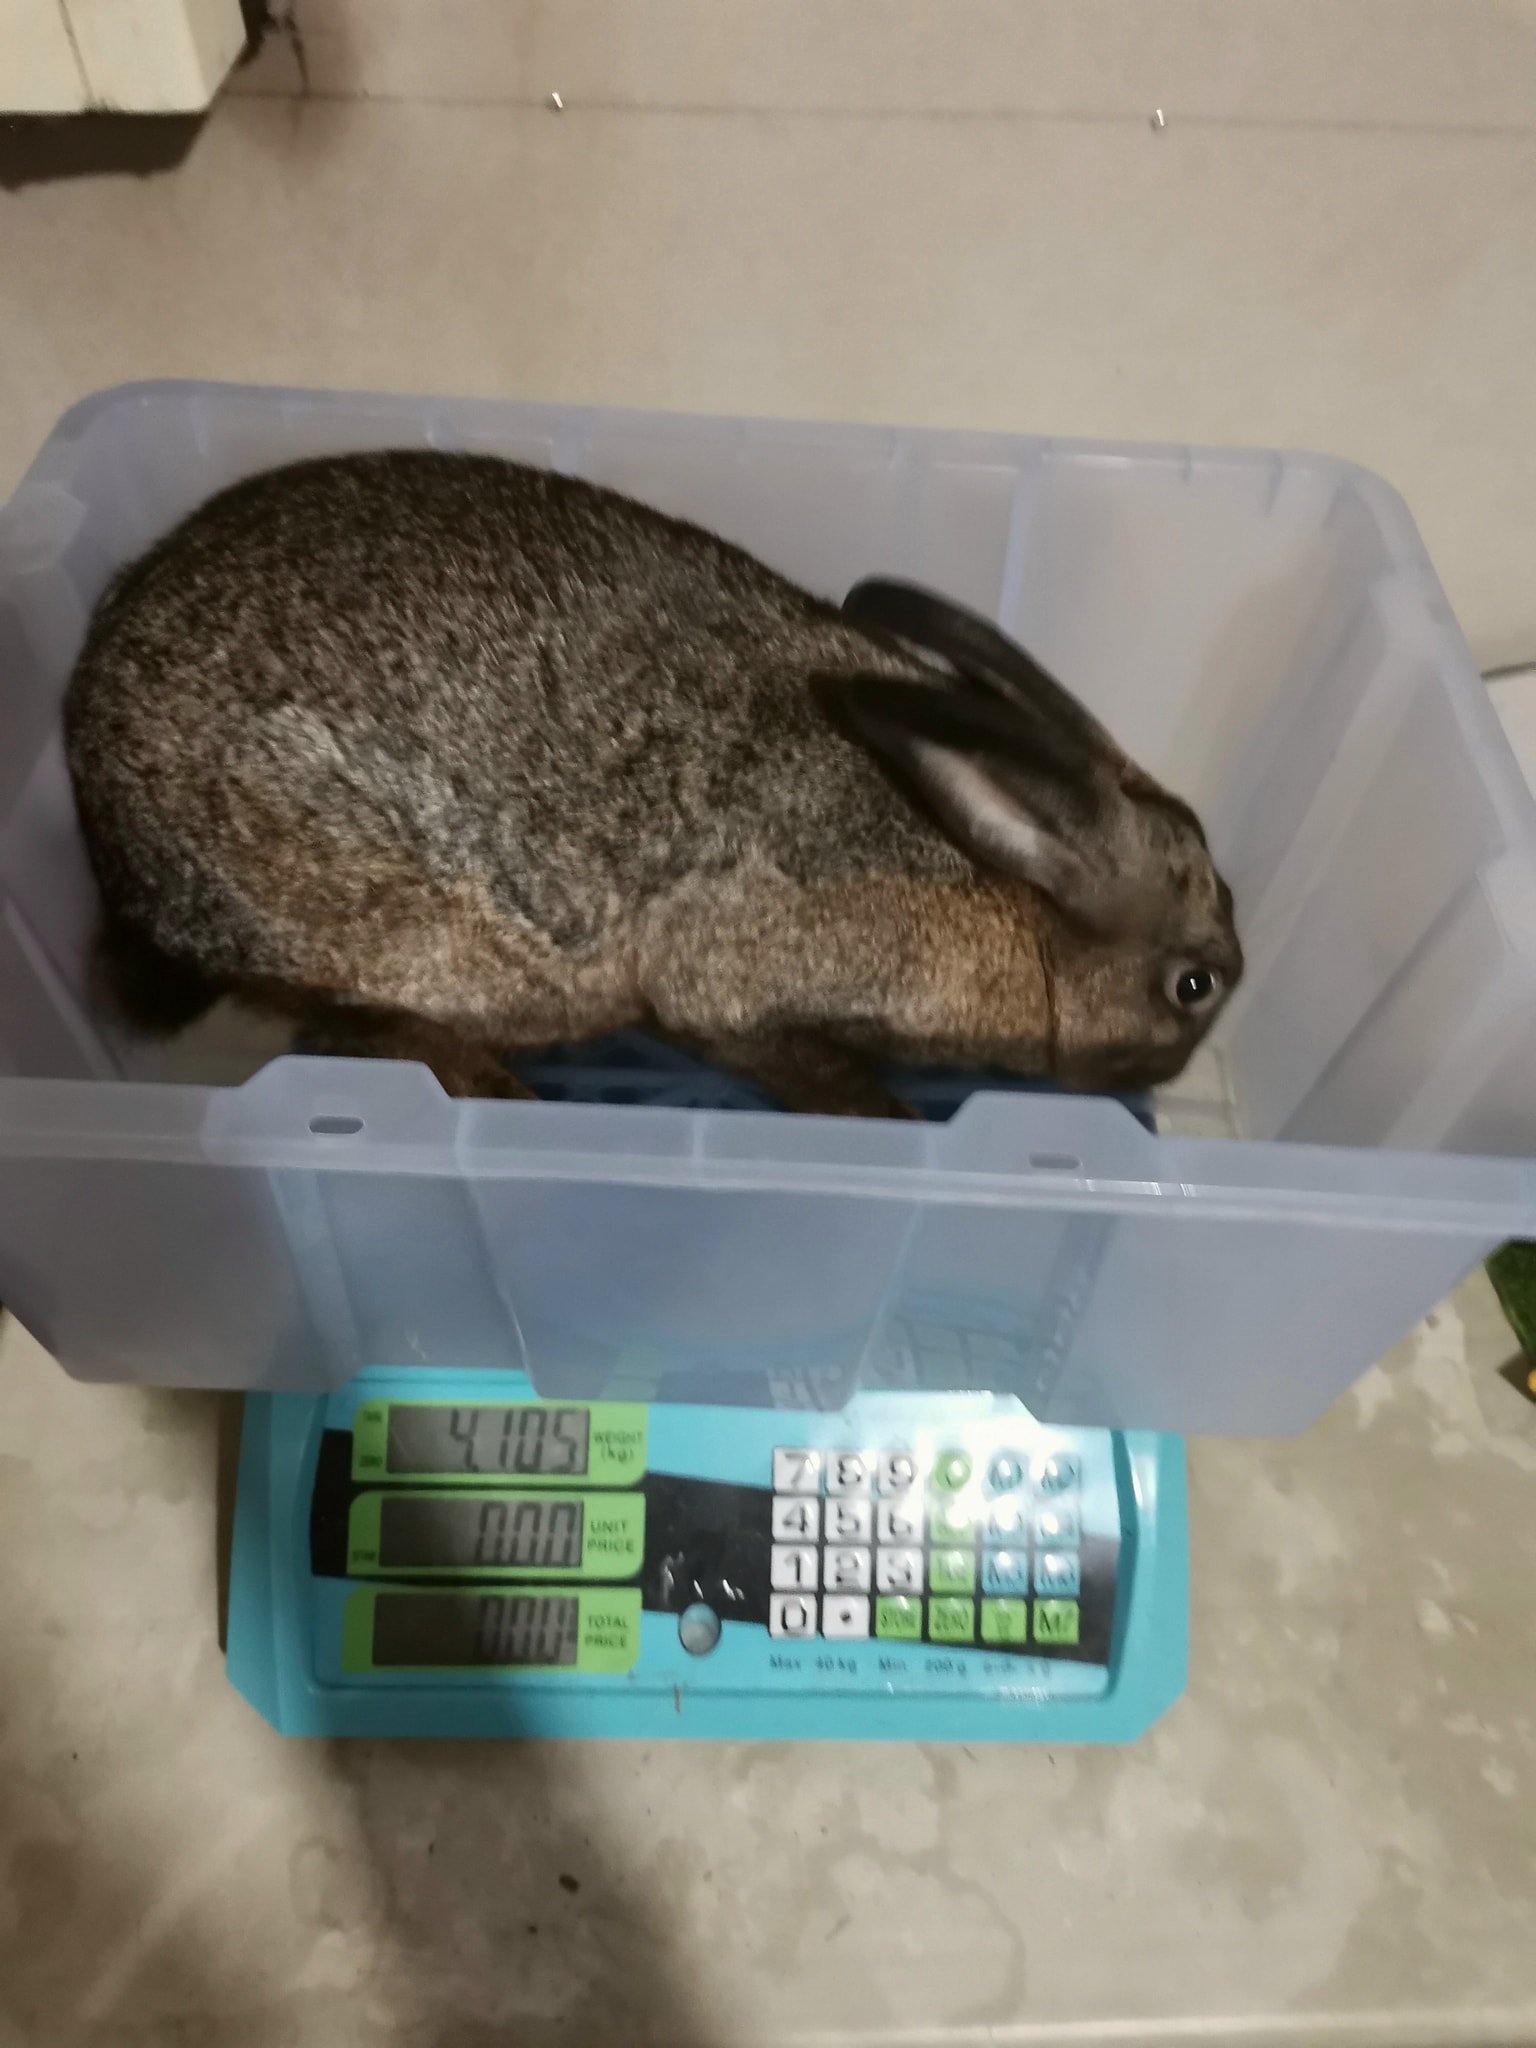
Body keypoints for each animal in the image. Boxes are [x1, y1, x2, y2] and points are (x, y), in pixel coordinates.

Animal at [64, 450, 1242, 1117]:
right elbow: (811, 1069)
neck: (1022, 902)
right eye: (1196, 986)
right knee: (349, 1030)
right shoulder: (729, 995)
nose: (1165, 1079)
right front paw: (894, 1122)